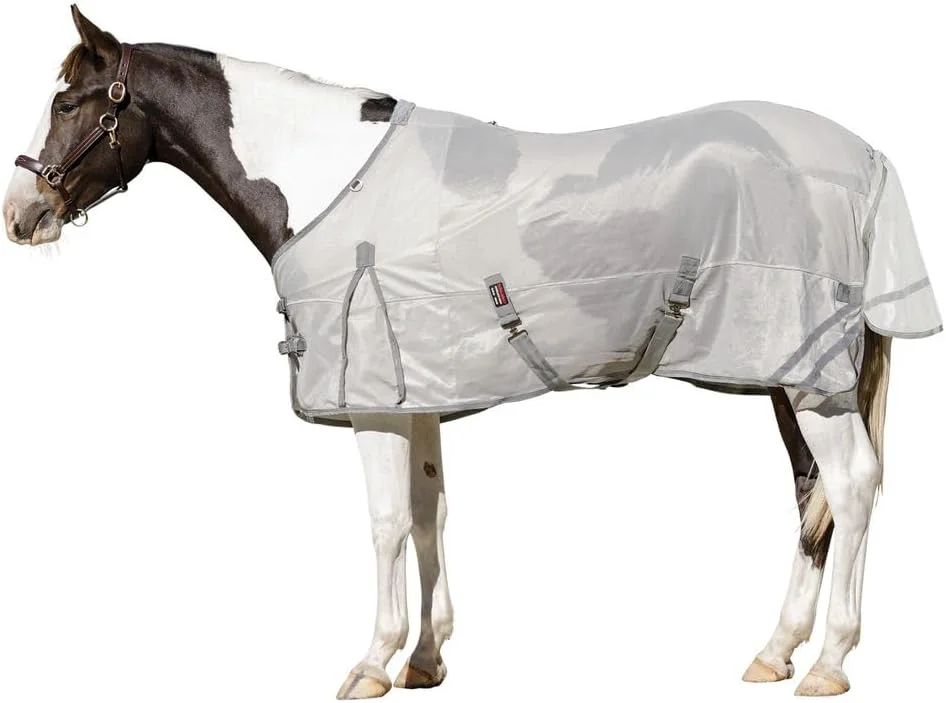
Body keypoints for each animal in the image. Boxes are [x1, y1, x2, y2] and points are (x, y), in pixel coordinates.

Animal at [4, 6, 942, 699]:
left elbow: (385, 524)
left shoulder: (372, 404)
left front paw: (371, 662)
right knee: (813, 495)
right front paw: (426, 659)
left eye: (67, 101)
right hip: (790, 378)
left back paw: (829, 663)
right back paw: (776, 650)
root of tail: (867, 157)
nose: (21, 215)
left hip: (810, 380)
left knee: (851, 487)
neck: (327, 179)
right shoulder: (417, 394)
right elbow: (430, 514)